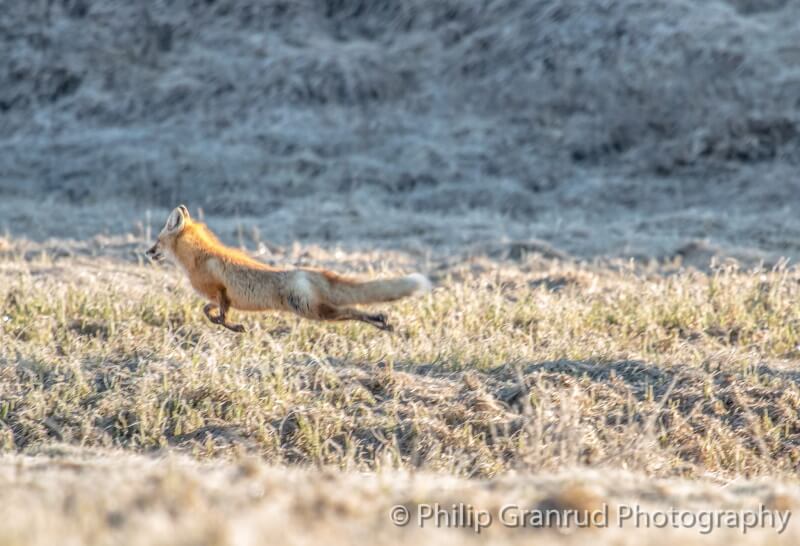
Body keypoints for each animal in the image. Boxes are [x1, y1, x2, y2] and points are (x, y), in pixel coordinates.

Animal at [145, 205, 431, 333]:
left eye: (156, 242)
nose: (147, 252)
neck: (200, 257)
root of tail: (309, 272)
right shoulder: (220, 297)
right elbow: (208, 310)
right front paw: (225, 324)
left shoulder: (221, 291)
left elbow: (220, 314)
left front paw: (233, 327)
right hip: (315, 309)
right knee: (350, 309)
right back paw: (382, 321)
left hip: (311, 310)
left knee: (350, 311)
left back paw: (380, 320)